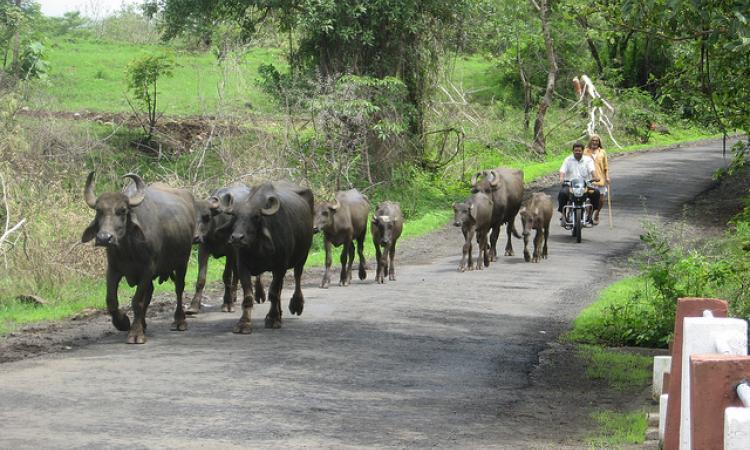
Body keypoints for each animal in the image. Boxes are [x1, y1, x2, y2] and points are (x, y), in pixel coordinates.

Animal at [81, 172, 197, 344]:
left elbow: (137, 301)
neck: (128, 249)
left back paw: (179, 321)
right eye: (99, 211)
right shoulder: (113, 269)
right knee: (150, 292)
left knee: (179, 288)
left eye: (122, 210)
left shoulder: (148, 269)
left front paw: (135, 333)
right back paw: (143, 323)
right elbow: (111, 300)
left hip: (182, 262)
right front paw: (123, 323)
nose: (104, 238)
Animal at [189, 183, 266, 312]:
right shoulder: (203, 249)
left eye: (207, 216)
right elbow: (201, 278)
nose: (194, 237)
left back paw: (259, 295)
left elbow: (226, 277)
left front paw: (227, 304)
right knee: (237, 274)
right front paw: (194, 305)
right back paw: (234, 296)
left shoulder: (231, 251)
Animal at [220, 181, 314, 332]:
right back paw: (280, 313)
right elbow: (248, 296)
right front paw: (244, 322)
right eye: (234, 216)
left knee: (297, 277)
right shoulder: (242, 266)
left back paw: (296, 305)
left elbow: (273, 293)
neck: (258, 248)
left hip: (302, 256)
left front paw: (273, 319)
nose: (237, 238)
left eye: (256, 216)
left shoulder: (280, 266)